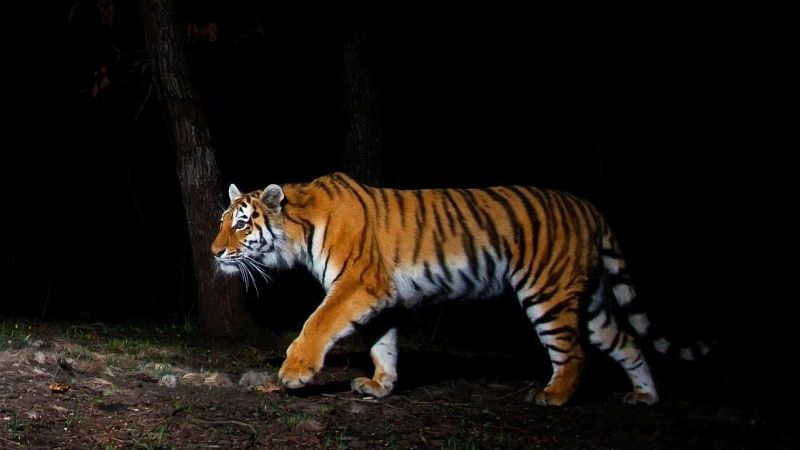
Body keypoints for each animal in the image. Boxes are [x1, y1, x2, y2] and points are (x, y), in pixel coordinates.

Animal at [211, 172, 706, 406]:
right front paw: (380, 386)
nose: (214, 252)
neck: (300, 230)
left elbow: (317, 324)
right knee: (626, 341)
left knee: (574, 353)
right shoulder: (383, 296)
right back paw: (645, 395)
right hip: (594, 301)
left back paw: (553, 396)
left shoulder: (357, 284)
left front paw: (294, 372)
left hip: (547, 292)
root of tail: (590, 207)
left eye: (242, 224)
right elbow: (383, 345)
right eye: (222, 221)